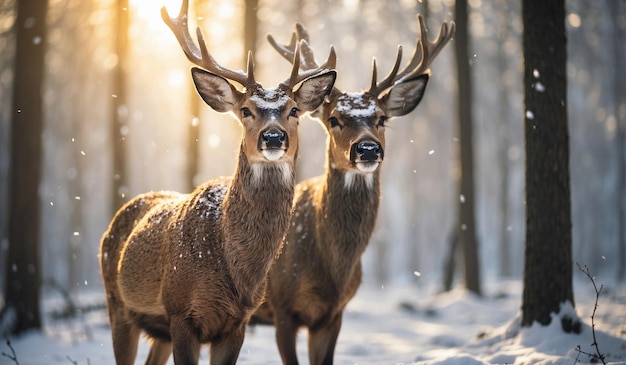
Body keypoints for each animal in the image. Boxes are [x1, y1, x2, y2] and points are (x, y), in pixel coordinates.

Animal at [97, 0, 334, 364]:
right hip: (118, 304)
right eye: (246, 110)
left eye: (294, 110)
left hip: (157, 329)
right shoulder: (181, 312)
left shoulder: (238, 321)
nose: (273, 137)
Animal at [250, 14, 454, 364]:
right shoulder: (282, 308)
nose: (368, 149)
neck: (331, 269)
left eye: (382, 118)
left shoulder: (333, 314)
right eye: (334, 119)